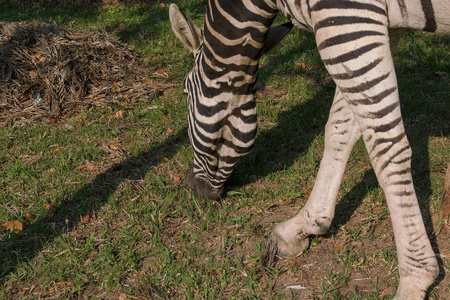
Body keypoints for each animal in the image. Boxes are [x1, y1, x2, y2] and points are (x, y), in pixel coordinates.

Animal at [168, 0, 446, 298]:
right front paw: (306, 224)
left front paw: (416, 277)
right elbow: (340, 128)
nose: (191, 184)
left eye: (185, 92)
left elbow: (386, 149)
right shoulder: (380, 25)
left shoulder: (347, 18)